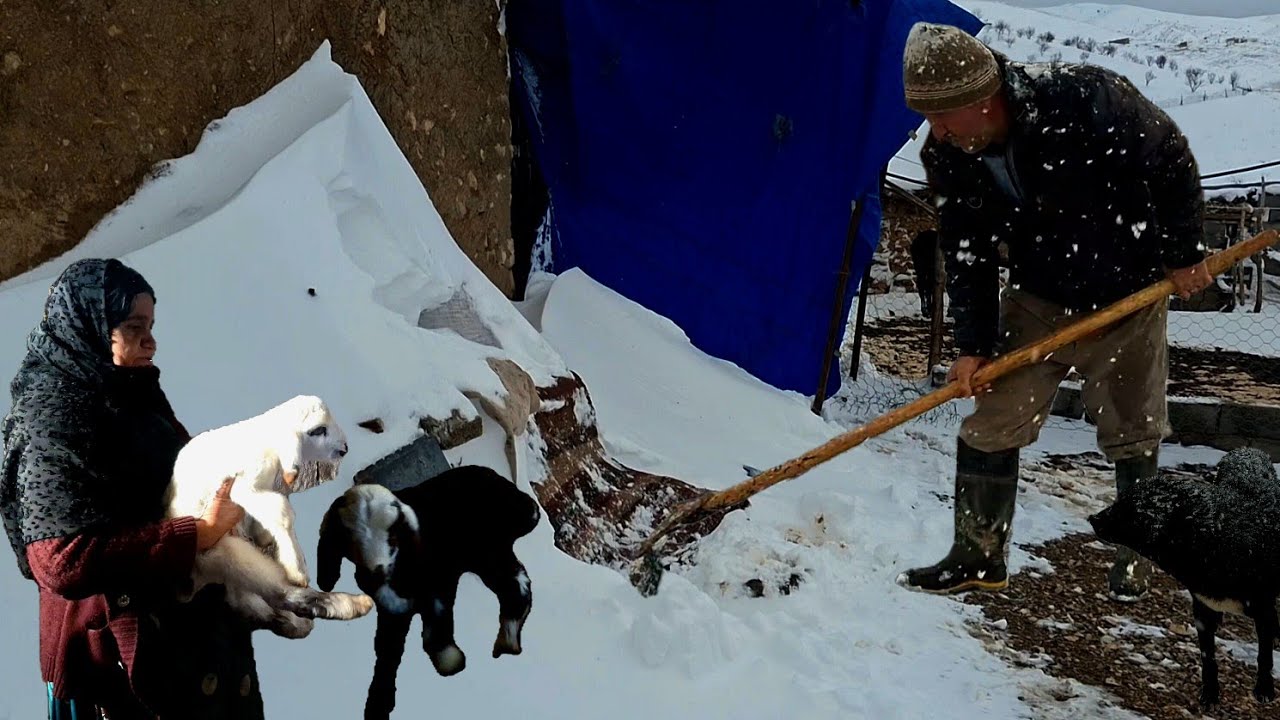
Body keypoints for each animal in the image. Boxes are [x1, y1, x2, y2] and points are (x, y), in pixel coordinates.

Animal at [317, 464, 541, 720]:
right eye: (347, 538)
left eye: (393, 536)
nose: (373, 573)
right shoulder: (391, 611)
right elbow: (387, 650)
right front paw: (377, 705)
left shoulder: (438, 588)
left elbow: (433, 634)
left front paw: (452, 662)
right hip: (488, 554)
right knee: (515, 582)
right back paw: (508, 641)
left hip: (490, 545)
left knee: (516, 582)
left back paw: (507, 641)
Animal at [1088, 446, 1280, 709]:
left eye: (1129, 510)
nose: (1092, 518)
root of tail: (1248, 450)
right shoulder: (1203, 610)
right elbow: (1208, 659)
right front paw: (1210, 694)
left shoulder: (1263, 609)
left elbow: (1264, 655)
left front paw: (1264, 689)